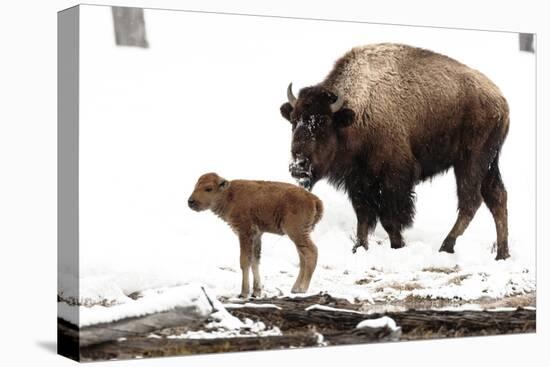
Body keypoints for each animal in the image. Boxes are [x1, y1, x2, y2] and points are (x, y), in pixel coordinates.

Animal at [188, 173, 324, 300]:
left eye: (208, 188)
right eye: (195, 186)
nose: (190, 201)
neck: (229, 195)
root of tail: (314, 199)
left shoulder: (244, 232)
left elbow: (244, 261)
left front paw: (243, 293)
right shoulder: (257, 235)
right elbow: (255, 261)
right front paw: (256, 292)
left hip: (296, 232)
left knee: (312, 251)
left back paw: (302, 288)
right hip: (298, 235)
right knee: (302, 257)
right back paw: (295, 288)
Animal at [282, 43, 512, 262]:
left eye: (322, 122)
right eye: (293, 120)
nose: (298, 166)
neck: (357, 113)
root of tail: (501, 100)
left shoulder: (393, 180)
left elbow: (390, 219)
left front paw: (397, 245)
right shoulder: (358, 181)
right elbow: (363, 216)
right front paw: (359, 248)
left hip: (470, 161)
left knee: (471, 201)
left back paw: (446, 246)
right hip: (489, 164)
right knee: (497, 197)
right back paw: (502, 254)